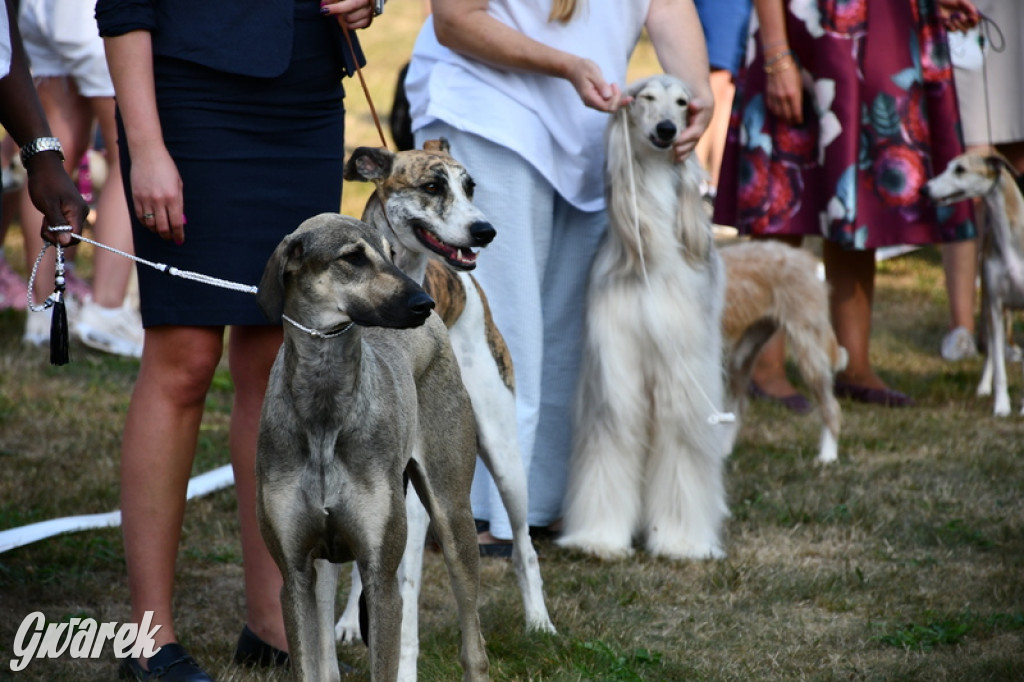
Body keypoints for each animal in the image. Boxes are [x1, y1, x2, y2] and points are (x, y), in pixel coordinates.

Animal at [561, 75, 729, 557]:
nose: (668, 130)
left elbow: (680, 444)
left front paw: (681, 541)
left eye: (683, 103)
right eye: (646, 98)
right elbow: (612, 437)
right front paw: (598, 537)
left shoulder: (684, 370)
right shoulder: (615, 368)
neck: (655, 259)